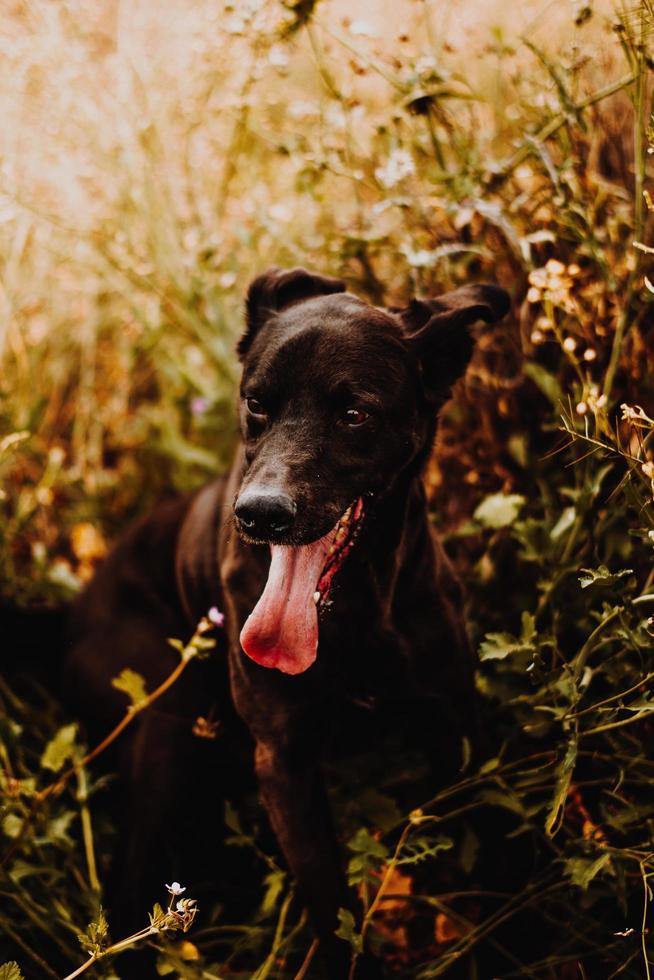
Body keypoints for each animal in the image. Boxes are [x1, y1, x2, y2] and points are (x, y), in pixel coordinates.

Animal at [65, 266, 512, 972]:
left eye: (355, 413)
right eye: (257, 404)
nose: (260, 514)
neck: (353, 616)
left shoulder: (455, 720)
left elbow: (494, 841)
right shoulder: (284, 761)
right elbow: (329, 902)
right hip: (163, 721)